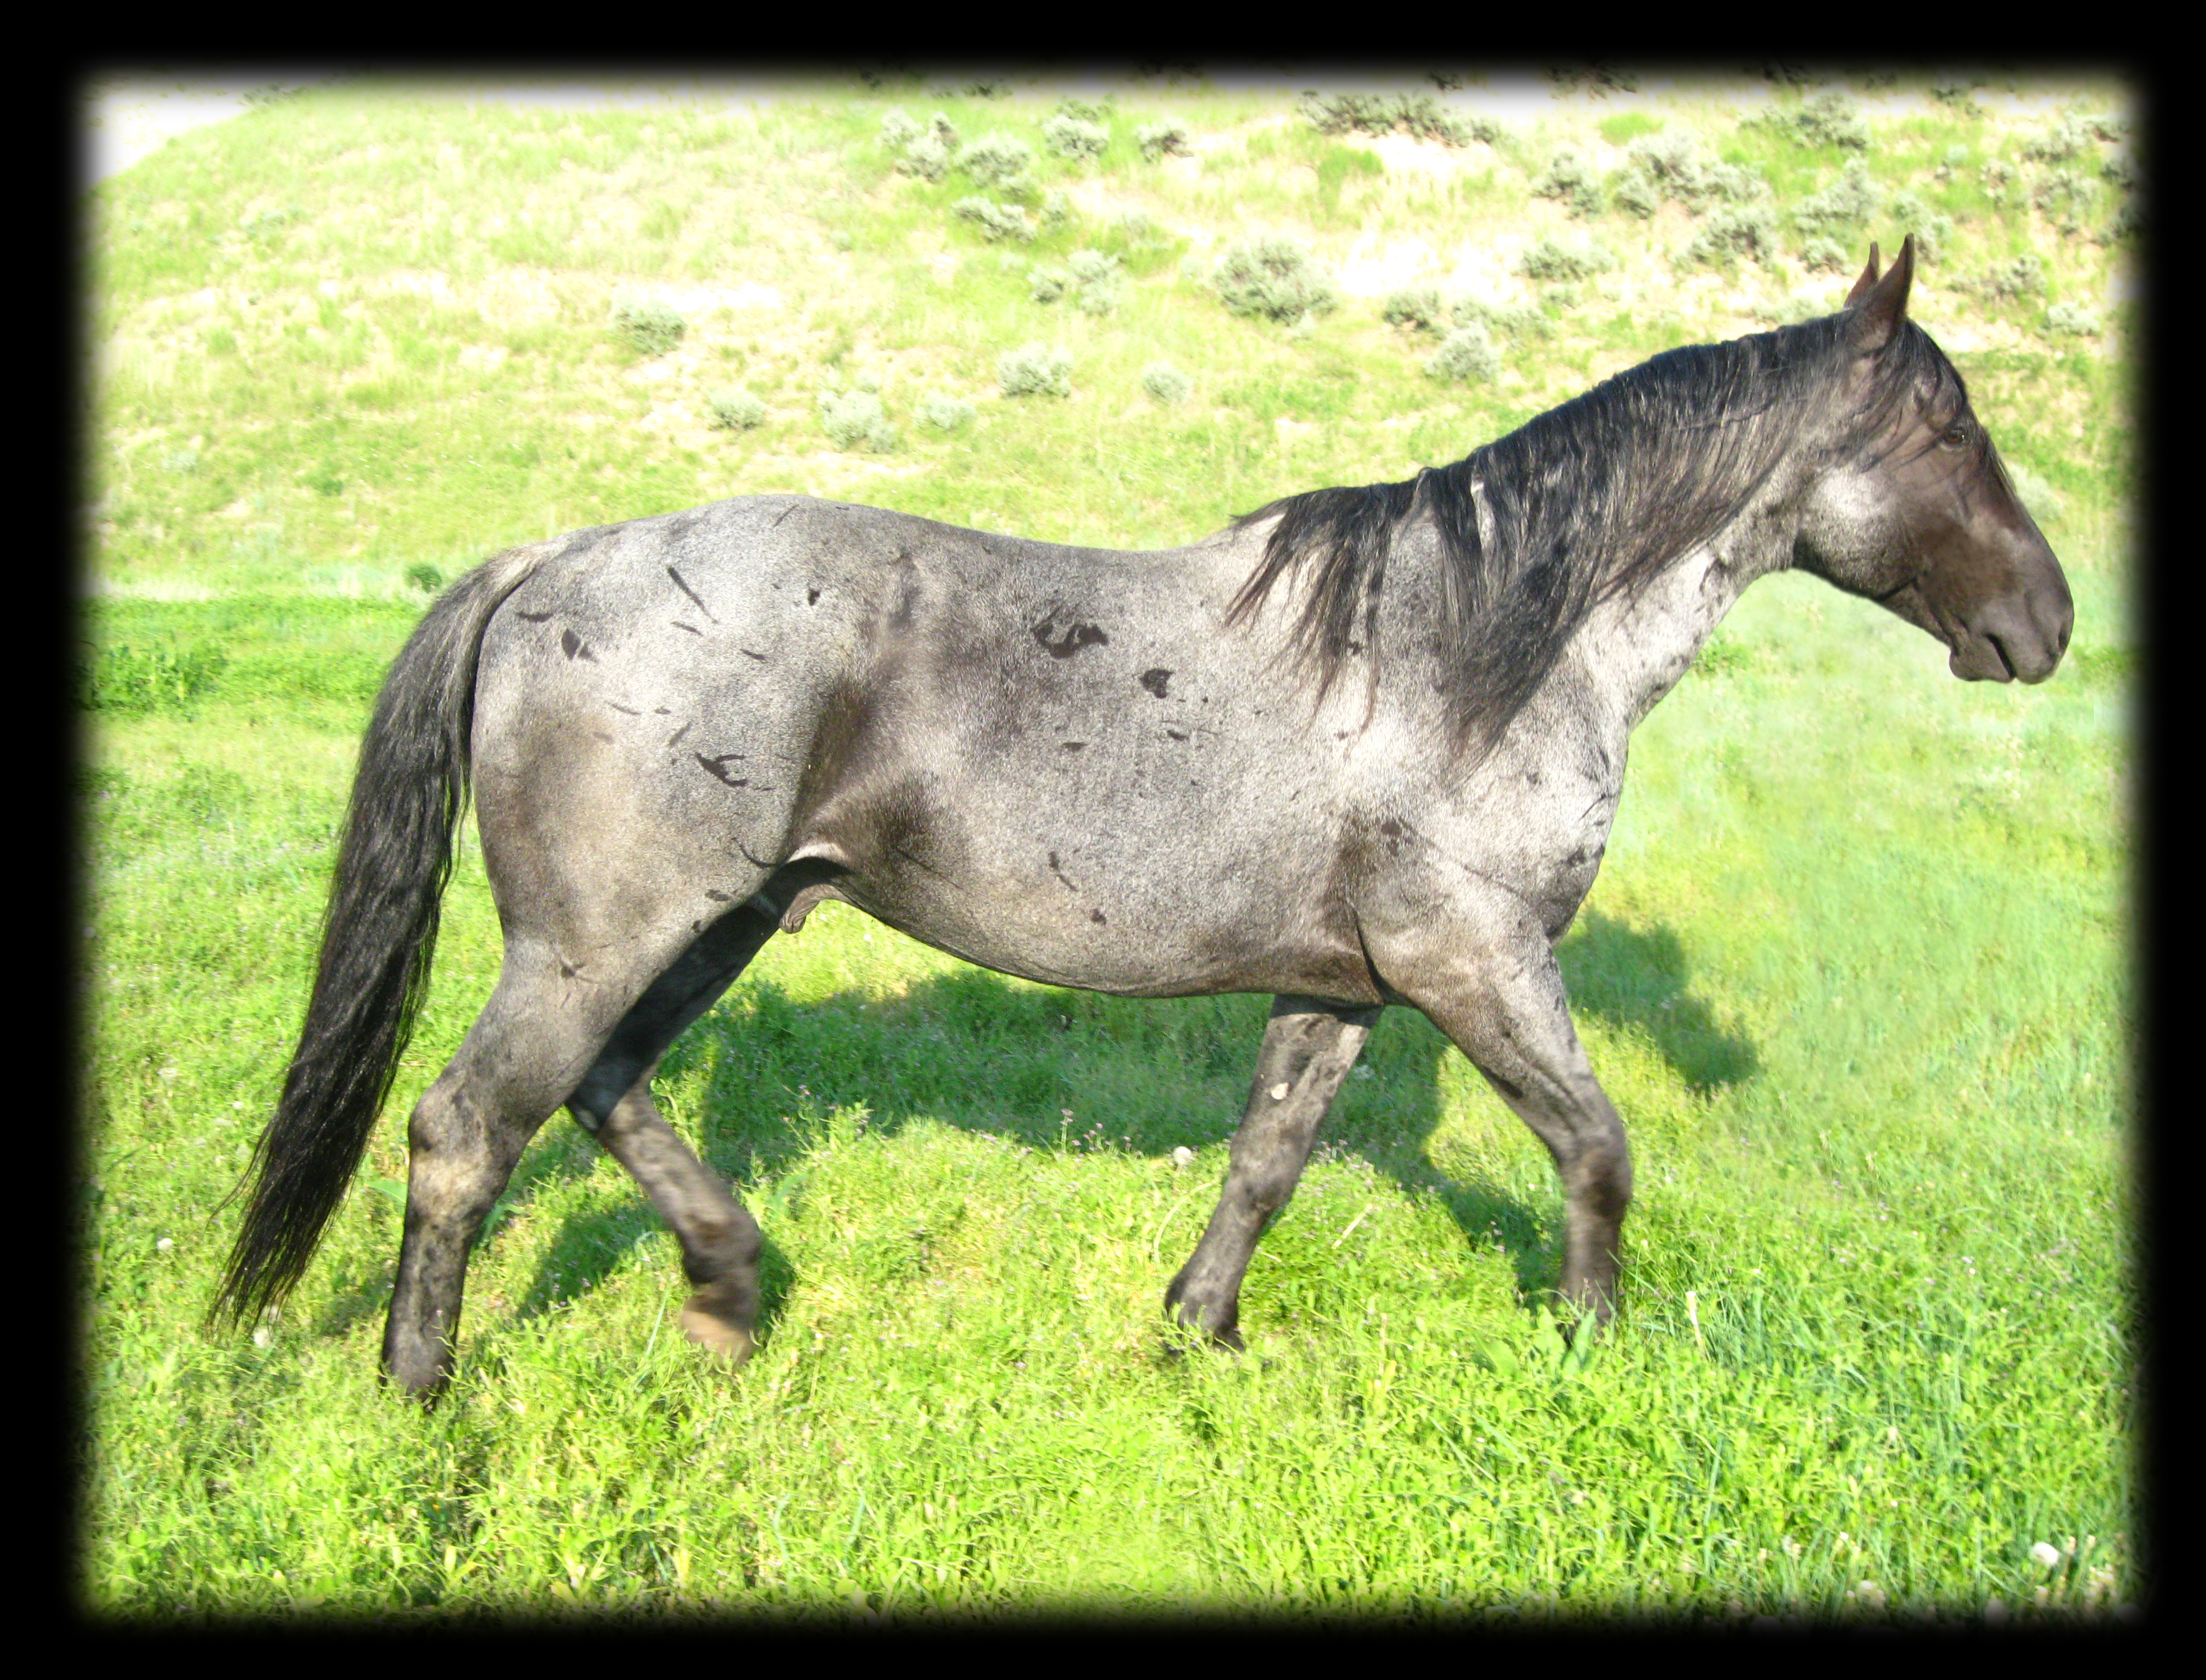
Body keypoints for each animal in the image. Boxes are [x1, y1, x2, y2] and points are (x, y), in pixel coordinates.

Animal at [210, 232, 2065, 1384]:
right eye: (1945, 426)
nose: (2042, 622)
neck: (1470, 652)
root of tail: (551, 564)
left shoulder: (1339, 985)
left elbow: (1264, 1164)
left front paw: (1199, 1330)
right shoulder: (1475, 961)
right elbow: (1596, 1149)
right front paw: (1590, 1348)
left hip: (714, 921)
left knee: (598, 1093)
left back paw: (729, 1295)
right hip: (602, 937)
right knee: (465, 1131)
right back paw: (419, 1388)